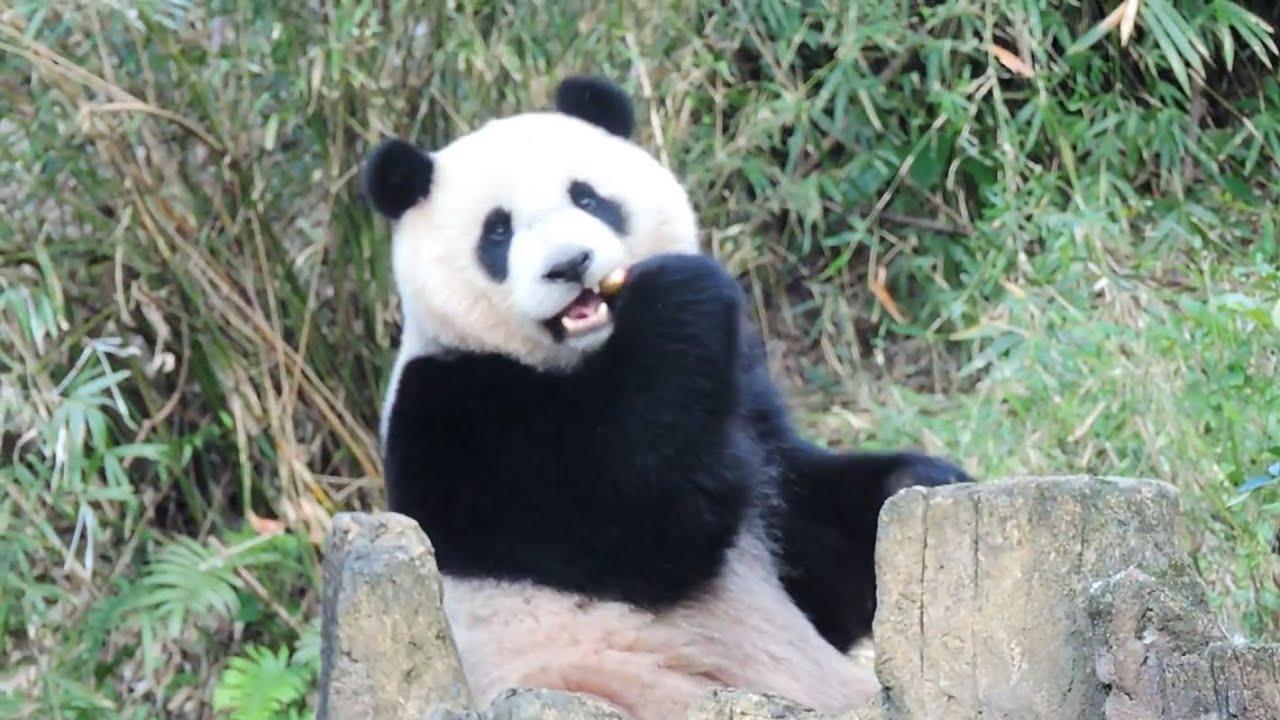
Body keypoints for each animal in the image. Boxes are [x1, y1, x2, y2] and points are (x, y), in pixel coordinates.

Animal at [363, 75, 973, 719]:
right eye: (497, 232)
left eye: (588, 198)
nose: (570, 265)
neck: (590, 354)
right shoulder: (454, 416)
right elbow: (631, 523)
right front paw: (677, 294)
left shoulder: (741, 392)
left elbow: (808, 541)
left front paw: (923, 478)